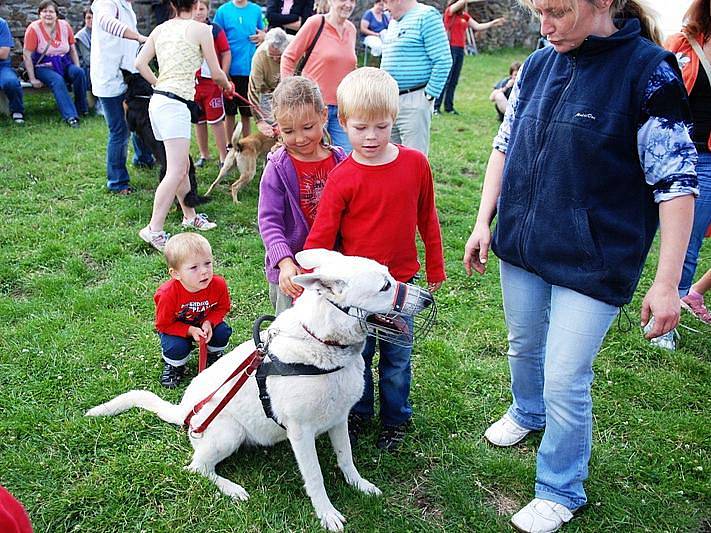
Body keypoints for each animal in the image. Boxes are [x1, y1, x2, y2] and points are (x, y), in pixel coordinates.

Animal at [87, 249, 434, 532]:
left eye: (391, 277)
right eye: (385, 286)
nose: (429, 299)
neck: (322, 343)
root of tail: (184, 410)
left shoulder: (339, 420)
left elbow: (346, 459)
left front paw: (359, 485)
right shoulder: (301, 433)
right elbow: (316, 477)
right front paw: (326, 514)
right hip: (229, 434)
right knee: (197, 467)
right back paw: (232, 489)